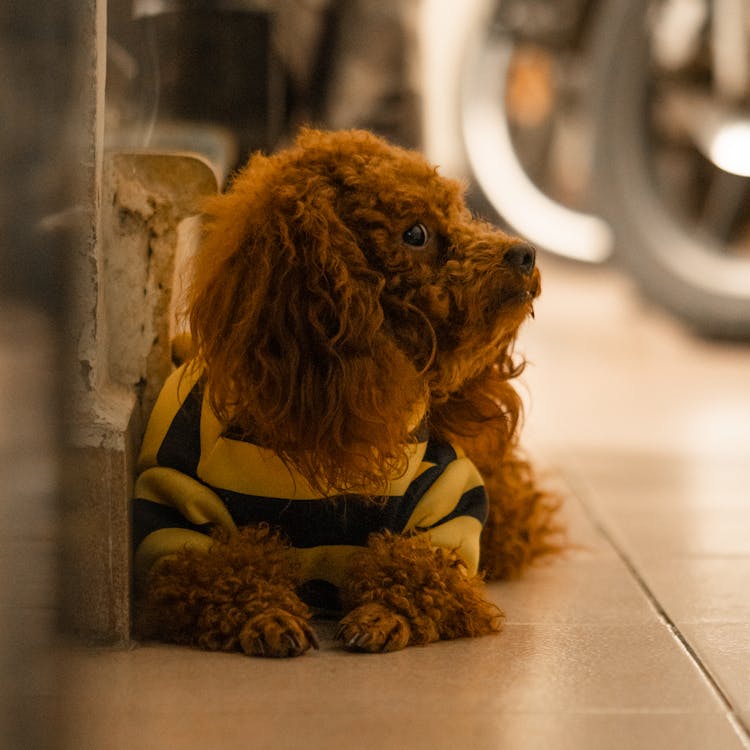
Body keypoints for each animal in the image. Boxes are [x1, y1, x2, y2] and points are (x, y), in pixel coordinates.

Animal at [132, 129, 560, 656]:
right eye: (415, 233)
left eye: (459, 212)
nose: (525, 254)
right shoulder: (181, 513)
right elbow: (220, 570)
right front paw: (267, 616)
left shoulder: (445, 499)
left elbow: (422, 570)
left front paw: (382, 614)